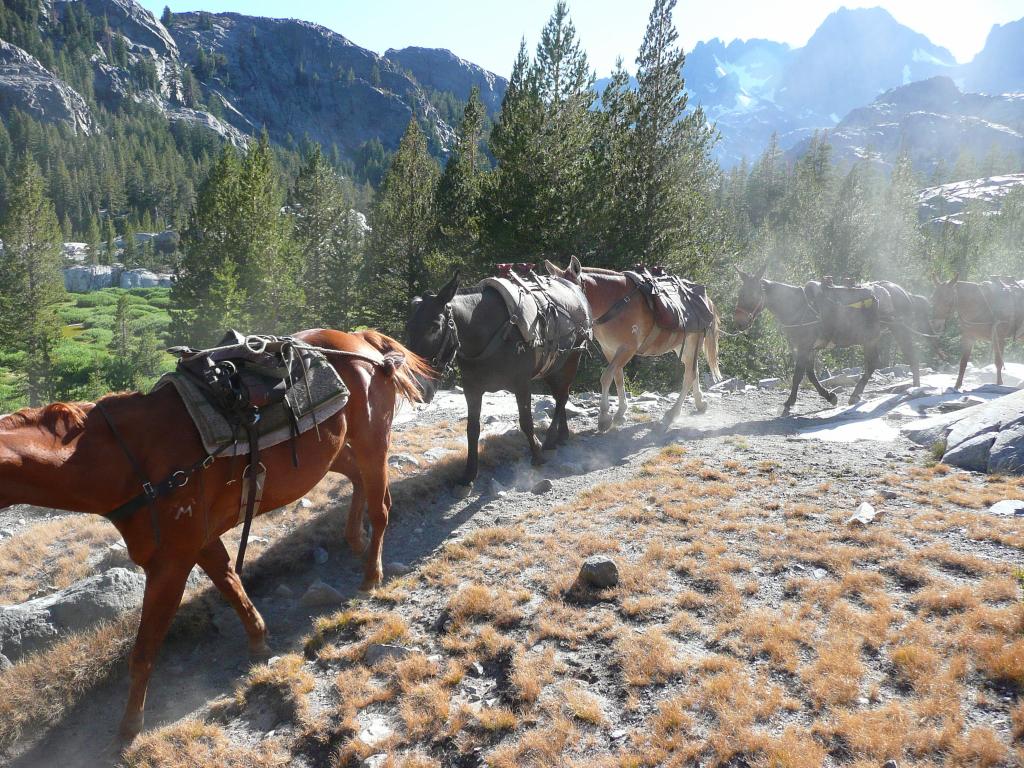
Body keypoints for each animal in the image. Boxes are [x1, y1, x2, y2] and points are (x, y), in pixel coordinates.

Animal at [0, 327, 428, 741]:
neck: (128, 463)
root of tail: (361, 341)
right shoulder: (202, 543)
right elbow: (230, 583)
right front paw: (258, 639)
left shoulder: (171, 562)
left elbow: (145, 648)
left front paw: (130, 724)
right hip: (333, 451)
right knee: (357, 480)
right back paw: (356, 540)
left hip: (372, 441)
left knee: (381, 505)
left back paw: (371, 574)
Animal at [548, 260, 724, 434]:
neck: (615, 302)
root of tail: (707, 301)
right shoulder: (610, 350)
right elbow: (618, 377)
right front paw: (620, 413)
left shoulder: (627, 349)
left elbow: (606, 377)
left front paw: (604, 418)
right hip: (683, 345)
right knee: (694, 371)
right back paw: (700, 404)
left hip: (693, 342)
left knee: (689, 375)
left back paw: (672, 414)